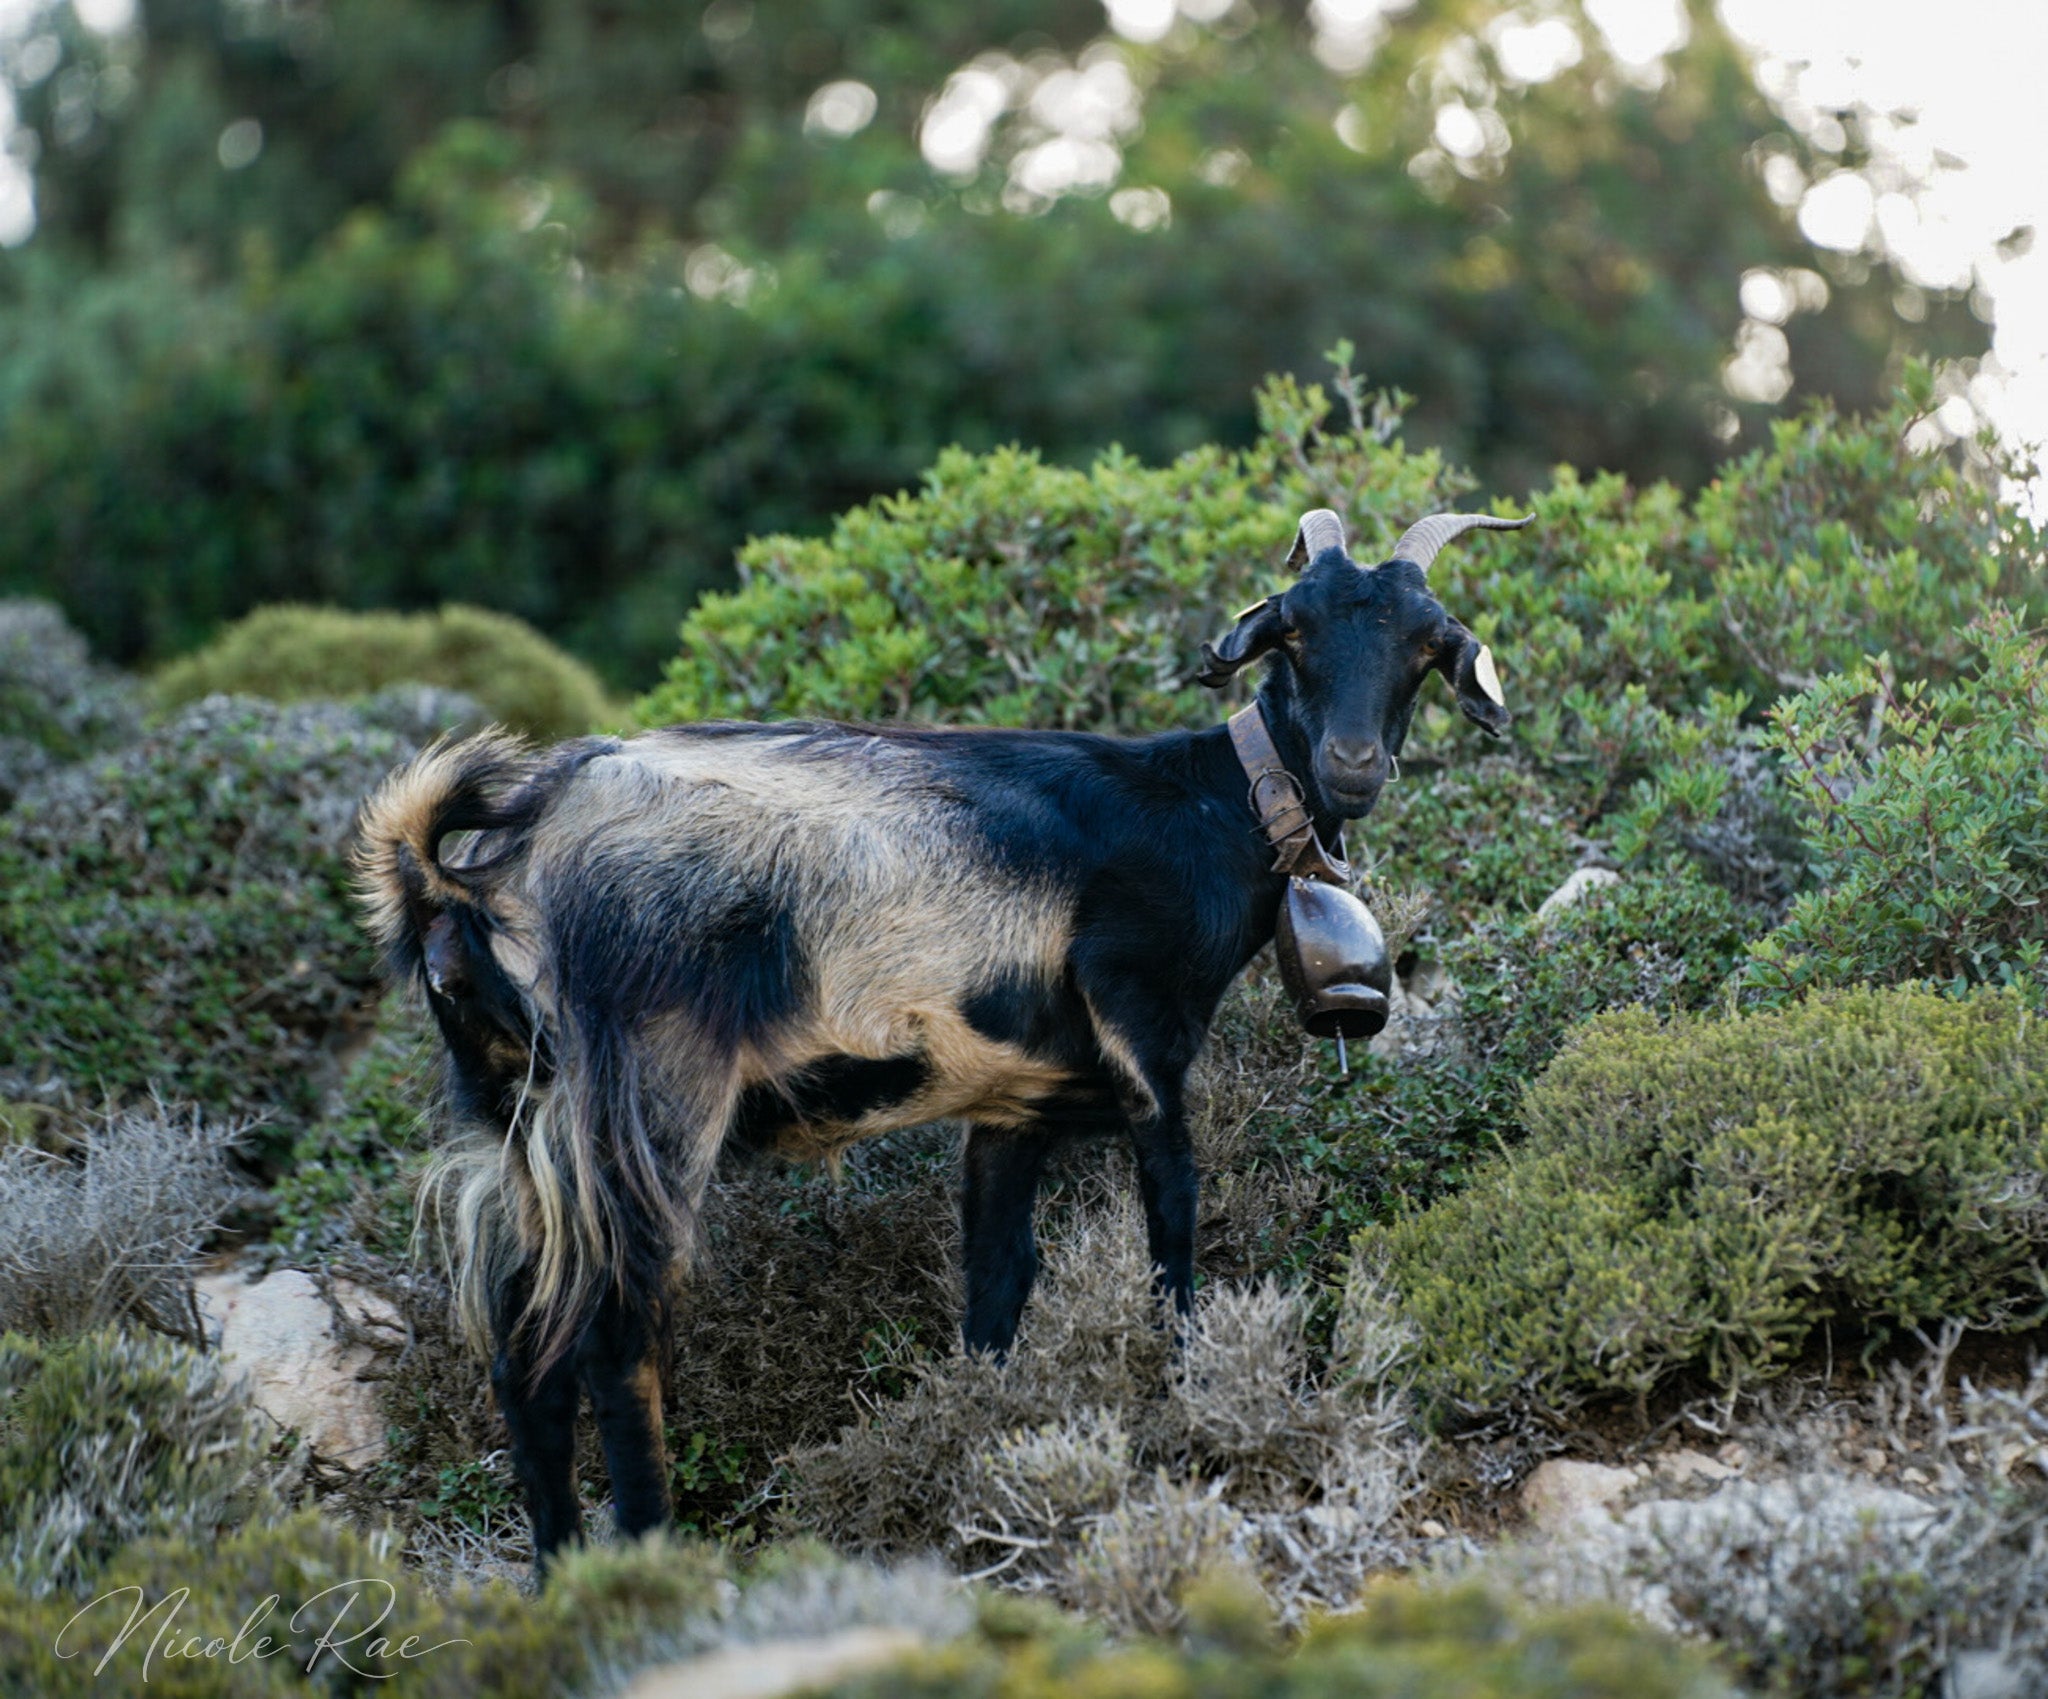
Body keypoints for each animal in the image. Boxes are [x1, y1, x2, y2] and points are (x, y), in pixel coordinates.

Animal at [353, 507, 1528, 1564]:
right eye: (1292, 628)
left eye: (1425, 643)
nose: (1352, 764)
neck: (1206, 804)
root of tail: (481, 869)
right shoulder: (1145, 1033)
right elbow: (1173, 1230)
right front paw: (1191, 1395)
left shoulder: (1009, 1109)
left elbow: (996, 1289)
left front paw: (979, 1452)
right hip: (648, 1091)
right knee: (612, 1335)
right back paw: (647, 1565)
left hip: (515, 1118)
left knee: (522, 1357)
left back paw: (560, 1578)